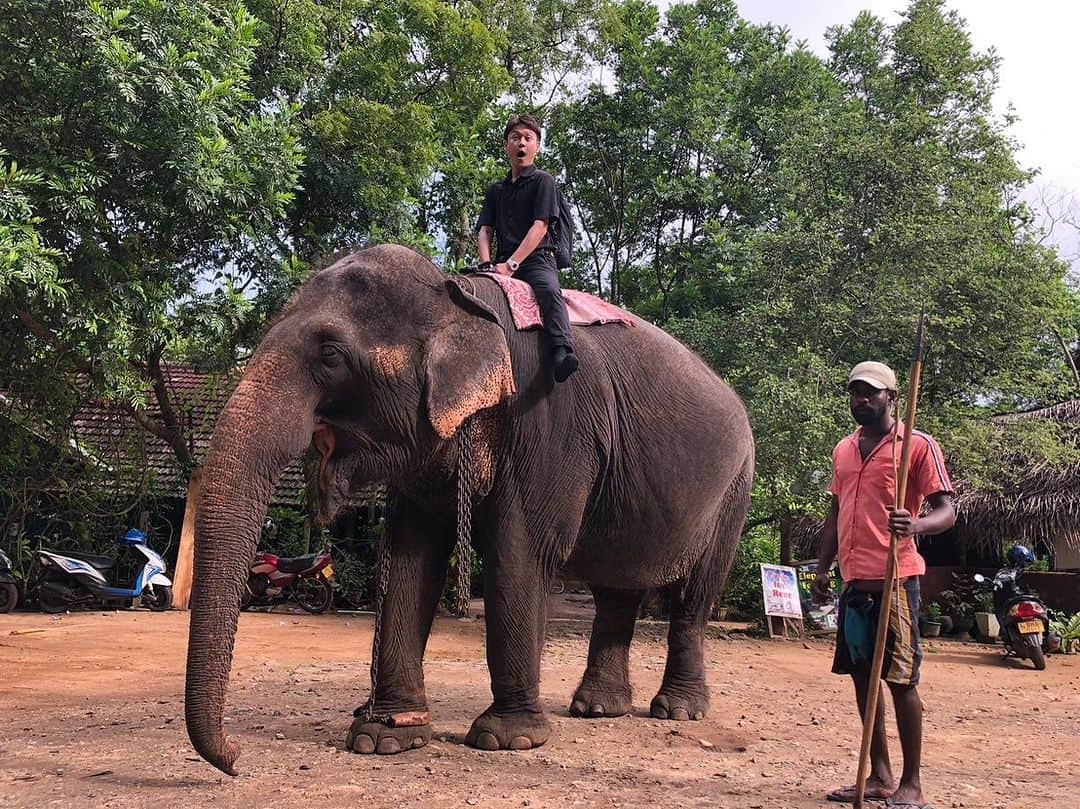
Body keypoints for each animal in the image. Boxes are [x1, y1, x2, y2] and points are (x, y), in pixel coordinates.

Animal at [185, 243, 756, 773]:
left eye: (330, 354)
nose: (236, 758)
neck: (458, 295)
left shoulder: (549, 423)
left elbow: (519, 554)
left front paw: (507, 740)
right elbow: (412, 560)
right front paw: (385, 737)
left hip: (735, 489)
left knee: (694, 596)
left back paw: (677, 711)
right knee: (618, 589)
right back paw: (597, 709)